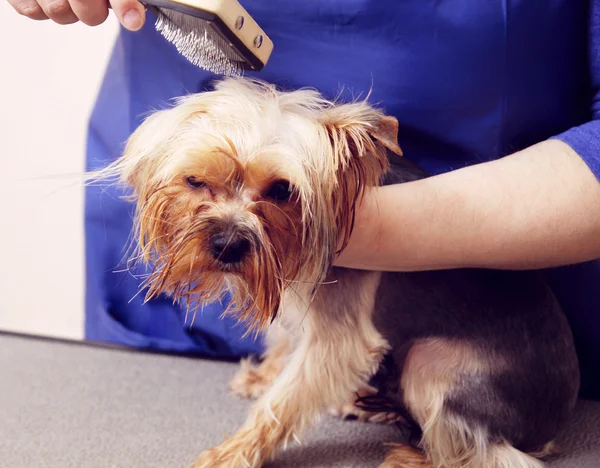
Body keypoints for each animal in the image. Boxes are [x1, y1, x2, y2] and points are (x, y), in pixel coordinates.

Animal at [96, 78, 580, 466]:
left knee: (494, 452)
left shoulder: (337, 338)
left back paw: (415, 456)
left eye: (282, 190)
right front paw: (264, 375)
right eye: (195, 181)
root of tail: (553, 425)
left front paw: (232, 452)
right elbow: (285, 344)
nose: (228, 245)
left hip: (435, 367)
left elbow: (284, 402)